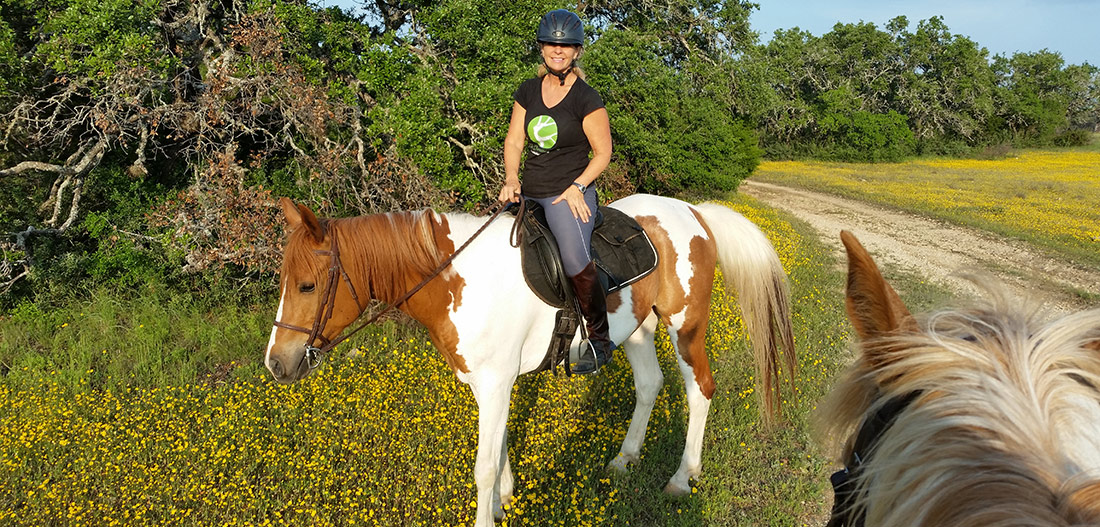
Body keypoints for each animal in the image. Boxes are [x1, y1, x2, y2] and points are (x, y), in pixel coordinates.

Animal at [268, 194, 800, 527]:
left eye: (308, 286)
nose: (276, 364)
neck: (458, 281)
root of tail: (694, 212)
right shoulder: (491, 384)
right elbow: (500, 445)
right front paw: (504, 501)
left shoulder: (495, 382)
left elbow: (483, 464)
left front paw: (488, 512)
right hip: (635, 330)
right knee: (650, 385)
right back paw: (624, 458)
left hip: (685, 325)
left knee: (700, 389)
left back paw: (682, 478)